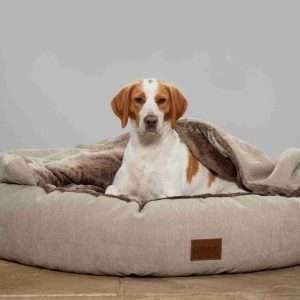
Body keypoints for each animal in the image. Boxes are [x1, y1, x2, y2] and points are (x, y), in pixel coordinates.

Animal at [104, 78, 243, 203]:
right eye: (139, 99)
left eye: (162, 100)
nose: (151, 120)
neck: (148, 149)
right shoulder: (114, 188)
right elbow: (114, 192)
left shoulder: (167, 194)